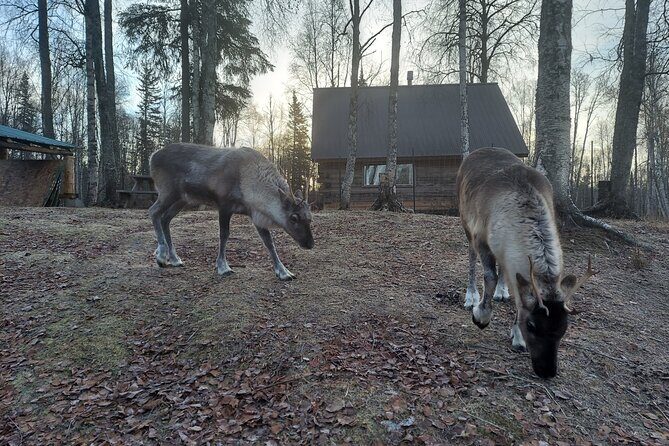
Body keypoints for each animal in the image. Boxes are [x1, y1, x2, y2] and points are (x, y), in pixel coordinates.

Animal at [148, 143, 314, 281]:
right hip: (168, 192)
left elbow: (269, 243)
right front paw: (223, 266)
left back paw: (174, 258)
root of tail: (152, 156)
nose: (310, 244)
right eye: (293, 218)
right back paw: (161, 255)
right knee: (153, 212)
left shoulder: (255, 214)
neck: (247, 181)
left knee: (165, 218)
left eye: (310, 218)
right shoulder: (224, 205)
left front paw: (284, 272)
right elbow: (224, 235)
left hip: (182, 199)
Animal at [456, 147, 596, 379]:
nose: (547, 371)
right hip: (465, 221)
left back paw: (501, 291)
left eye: (564, 328)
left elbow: (517, 291)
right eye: (531, 325)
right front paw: (481, 315)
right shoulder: (480, 237)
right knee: (471, 258)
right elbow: (489, 276)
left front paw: (517, 337)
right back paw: (470, 296)